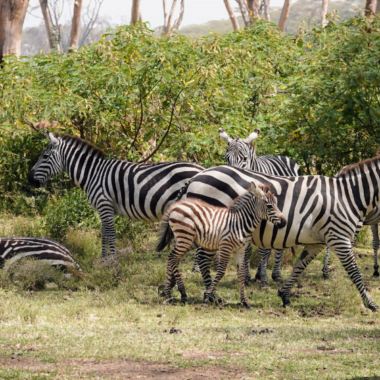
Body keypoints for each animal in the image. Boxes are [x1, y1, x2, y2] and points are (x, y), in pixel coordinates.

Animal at [27, 132, 203, 260]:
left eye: (45, 157)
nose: (29, 179)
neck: (93, 174)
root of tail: (201, 168)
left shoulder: (104, 204)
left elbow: (110, 235)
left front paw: (112, 262)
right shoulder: (103, 208)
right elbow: (104, 235)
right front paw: (103, 261)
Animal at [181, 156, 380, 310]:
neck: (348, 196)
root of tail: (198, 175)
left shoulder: (317, 242)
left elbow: (300, 265)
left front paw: (284, 295)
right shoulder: (339, 237)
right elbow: (354, 272)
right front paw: (370, 303)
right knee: (203, 261)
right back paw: (212, 296)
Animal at [218, 126, 302, 286]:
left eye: (244, 158)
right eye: (226, 158)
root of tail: (281, 155)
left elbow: (264, 250)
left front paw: (263, 278)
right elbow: (247, 250)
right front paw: (246, 276)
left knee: (277, 246)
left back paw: (275, 275)